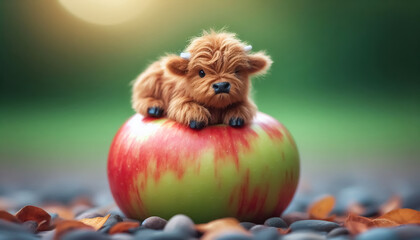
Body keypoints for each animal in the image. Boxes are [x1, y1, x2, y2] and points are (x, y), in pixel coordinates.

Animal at [131, 31, 272, 130]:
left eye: (237, 71)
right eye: (201, 73)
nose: (221, 86)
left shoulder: (243, 100)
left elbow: (244, 107)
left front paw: (237, 118)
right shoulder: (178, 99)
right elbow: (184, 106)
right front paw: (196, 118)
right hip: (150, 81)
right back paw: (153, 108)